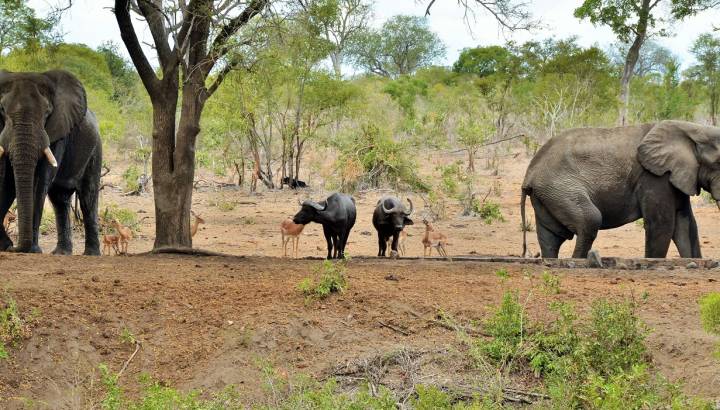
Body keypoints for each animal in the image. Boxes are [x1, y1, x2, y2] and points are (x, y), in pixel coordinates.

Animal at [0, 70, 102, 255]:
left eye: (47, 113)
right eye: (2, 110)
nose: (13, 247)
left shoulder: (58, 133)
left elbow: (39, 182)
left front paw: (32, 251)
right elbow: (7, 183)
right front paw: (4, 245)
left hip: (96, 149)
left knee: (88, 197)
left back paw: (91, 254)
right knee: (60, 199)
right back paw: (61, 253)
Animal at [520, 120, 720, 259]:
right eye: (719, 163)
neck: (692, 128)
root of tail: (529, 173)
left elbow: (686, 226)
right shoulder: (653, 177)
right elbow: (661, 224)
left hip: (546, 194)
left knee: (550, 237)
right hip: (558, 187)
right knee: (590, 220)